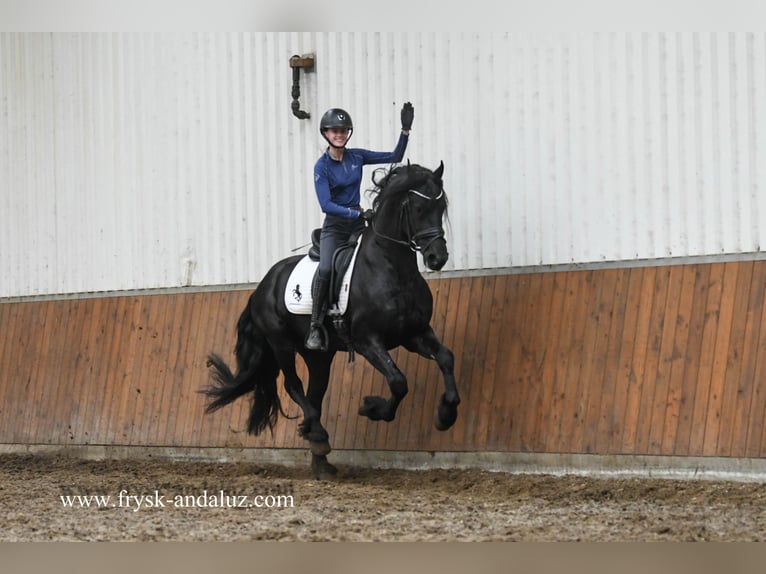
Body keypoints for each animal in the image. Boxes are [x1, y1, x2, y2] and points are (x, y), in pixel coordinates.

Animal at [201, 161, 462, 476]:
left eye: (441, 206)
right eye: (419, 208)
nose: (438, 258)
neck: (392, 269)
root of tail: (262, 286)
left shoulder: (414, 334)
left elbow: (446, 357)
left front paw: (446, 414)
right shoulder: (367, 342)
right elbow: (398, 382)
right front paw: (371, 409)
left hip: (319, 356)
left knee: (315, 394)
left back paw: (320, 457)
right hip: (281, 345)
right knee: (293, 386)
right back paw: (317, 434)